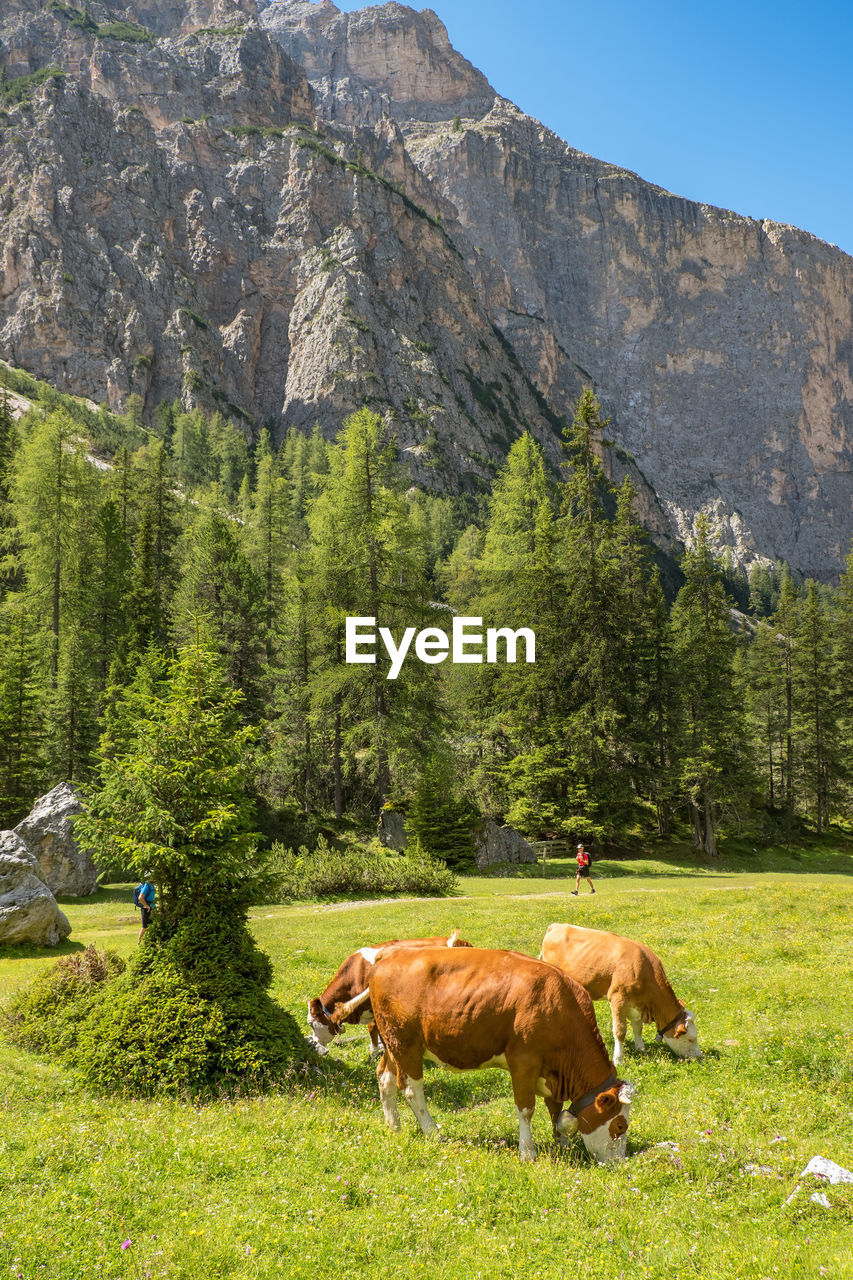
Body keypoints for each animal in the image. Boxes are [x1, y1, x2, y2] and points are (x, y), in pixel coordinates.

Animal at [335, 947, 635, 1167]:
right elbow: (526, 1109)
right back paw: (433, 1132)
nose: (620, 1164)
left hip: (392, 1042)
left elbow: (556, 1109)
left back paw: (394, 1126)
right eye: (620, 1125)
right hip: (406, 1043)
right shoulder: (523, 1061)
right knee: (411, 1089)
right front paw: (528, 1151)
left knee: (384, 1078)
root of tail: (390, 955)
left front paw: (561, 1142)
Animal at [537, 926, 696, 1064]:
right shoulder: (618, 998)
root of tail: (557, 926)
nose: (698, 1057)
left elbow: (638, 1027)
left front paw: (641, 1048)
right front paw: (618, 1059)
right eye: (691, 1039)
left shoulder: (636, 1004)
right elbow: (620, 1031)